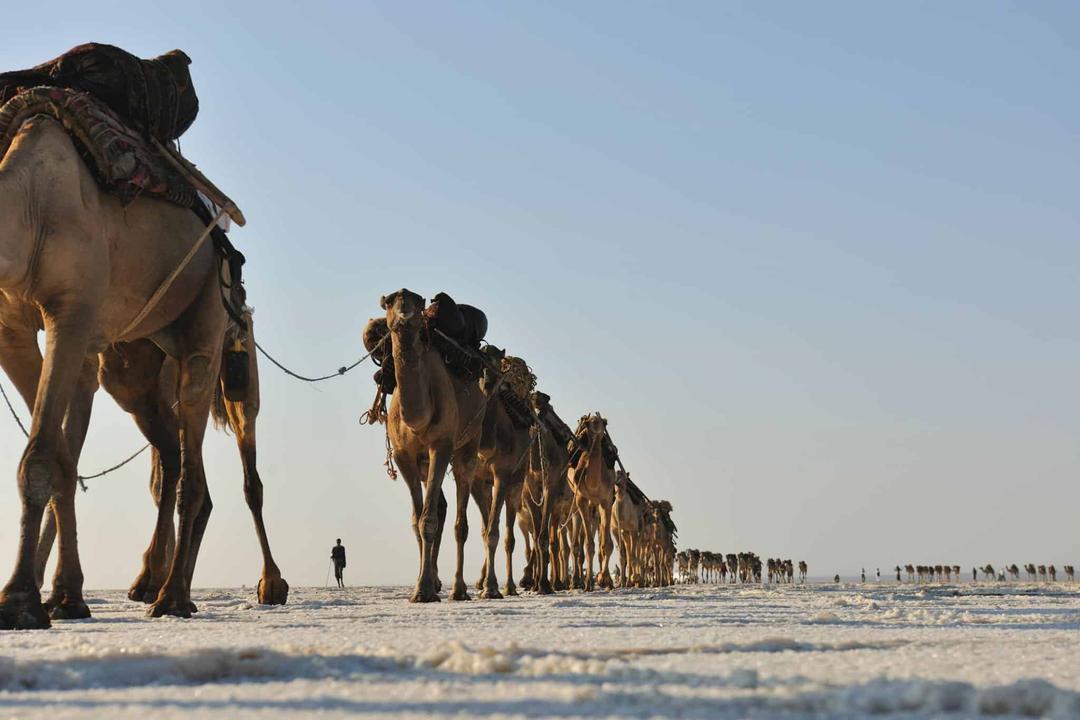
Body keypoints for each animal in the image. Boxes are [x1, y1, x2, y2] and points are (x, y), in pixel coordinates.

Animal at [0, 115, 232, 626]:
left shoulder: (72, 311)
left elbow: (40, 455)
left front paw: (21, 601)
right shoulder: (11, 327)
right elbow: (61, 457)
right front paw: (65, 598)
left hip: (207, 310)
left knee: (190, 454)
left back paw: (172, 597)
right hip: (132, 363)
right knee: (170, 454)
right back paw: (156, 585)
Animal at [378, 289, 483, 604]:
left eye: (416, 299)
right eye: (390, 301)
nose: (405, 315)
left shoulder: (441, 445)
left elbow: (428, 520)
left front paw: (423, 591)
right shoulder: (404, 455)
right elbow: (417, 519)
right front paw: (421, 585)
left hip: (468, 443)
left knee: (460, 519)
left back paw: (459, 589)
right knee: (440, 505)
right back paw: (438, 581)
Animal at [565, 414, 617, 587]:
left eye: (602, 422)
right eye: (588, 422)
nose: (593, 425)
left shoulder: (606, 500)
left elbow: (607, 545)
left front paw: (605, 579)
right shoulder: (581, 498)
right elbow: (588, 545)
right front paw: (589, 582)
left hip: (595, 507)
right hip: (577, 503)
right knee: (577, 542)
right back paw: (576, 581)